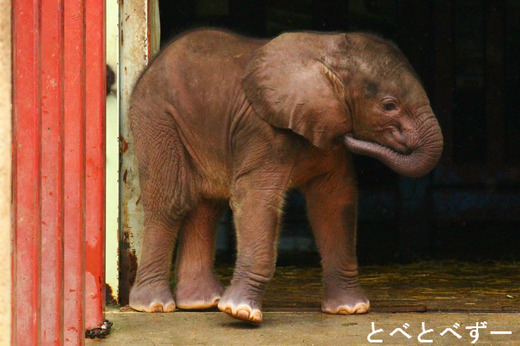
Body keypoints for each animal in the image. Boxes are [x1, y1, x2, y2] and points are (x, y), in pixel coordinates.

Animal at [130, 28, 442, 324]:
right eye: (389, 105)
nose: (353, 135)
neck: (326, 52)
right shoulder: (262, 129)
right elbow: (256, 199)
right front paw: (240, 313)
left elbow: (334, 201)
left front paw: (349, 309)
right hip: (158, 119)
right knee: (172, 202)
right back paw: (154, 306)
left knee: (206, 207)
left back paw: (202, 302)